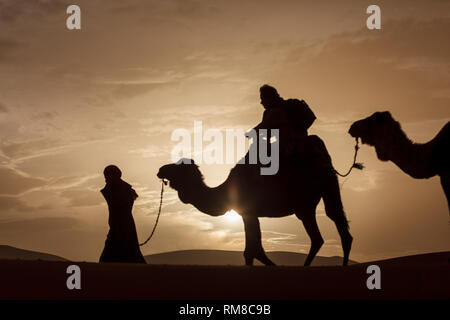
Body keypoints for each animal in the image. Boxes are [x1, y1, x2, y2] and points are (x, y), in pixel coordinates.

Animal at [156, 136, 354, 266]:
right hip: (321, 194)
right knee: (334, 226)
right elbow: (252, 250)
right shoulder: (249, 214)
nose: (160, 169)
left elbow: (253, 250)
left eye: (177, 167)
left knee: (323, 232)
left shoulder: (248, 212)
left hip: (309, 198)